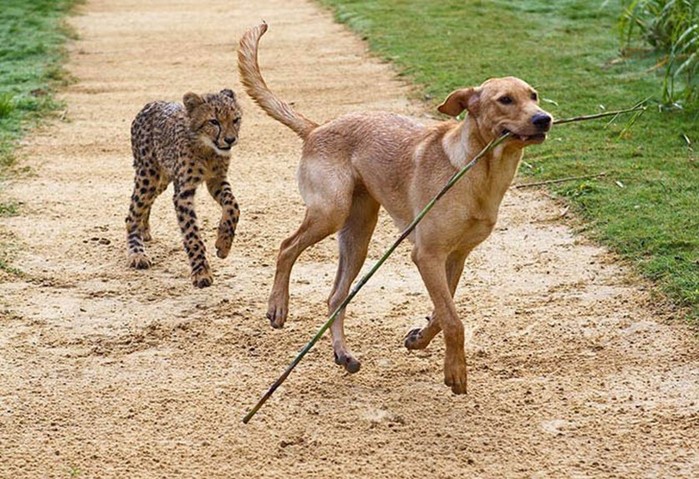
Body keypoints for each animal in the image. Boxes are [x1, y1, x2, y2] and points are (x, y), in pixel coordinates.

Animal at [239, 22, 552, 394]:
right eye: (505, 99)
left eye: (534, 96)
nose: (544, 119)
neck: (478, 171)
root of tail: (317, 128)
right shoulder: (427, 255)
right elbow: (453, 319)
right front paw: (455, 371)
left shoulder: (455, 258)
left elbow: (441, 313)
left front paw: (419, 340)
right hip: (330, 213)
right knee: (287, 248)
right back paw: (278, 306)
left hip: (358, 235)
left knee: (335, 297)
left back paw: (343, 354)